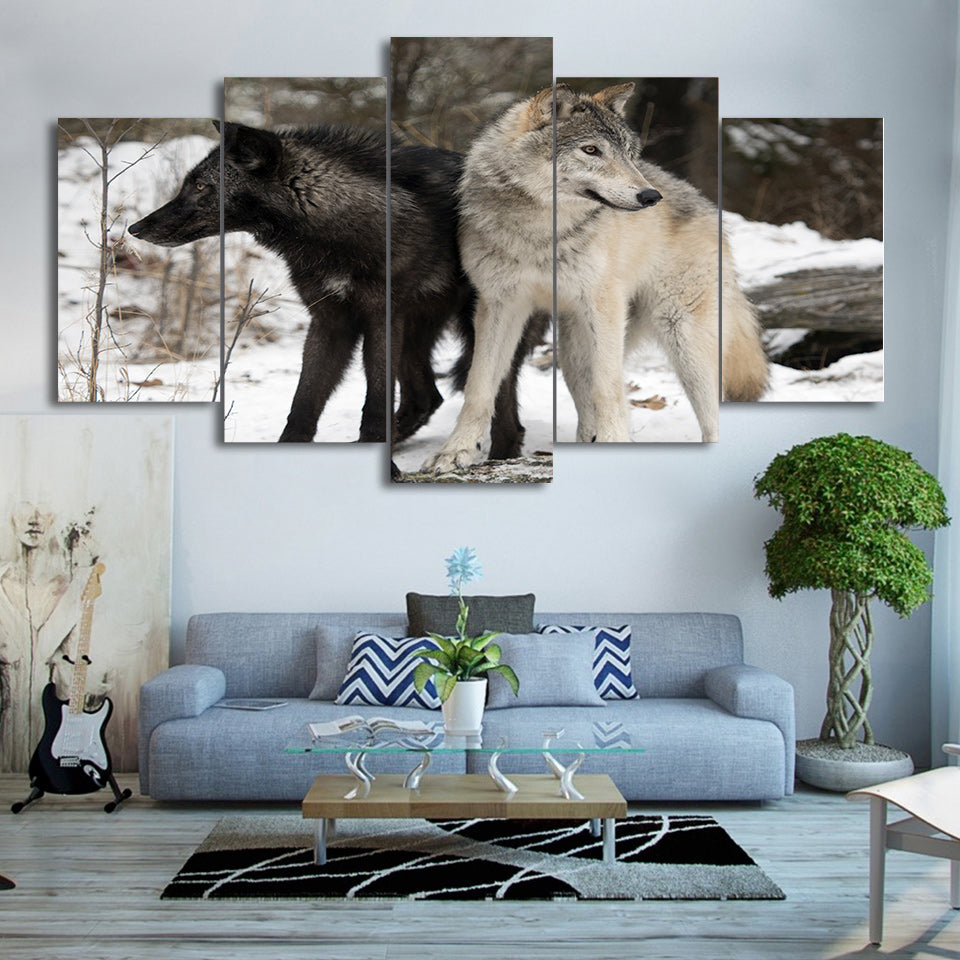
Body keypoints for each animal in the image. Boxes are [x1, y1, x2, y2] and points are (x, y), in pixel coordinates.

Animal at [129, 122, 539, 452]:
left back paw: (501, 452)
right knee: (426, 398)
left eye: (200, 186)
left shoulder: (380, 319)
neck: (333, 230)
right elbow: (303, 403)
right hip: (415, 330)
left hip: (475, 325)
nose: (135, 228)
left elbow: (373, 404)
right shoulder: (330, 321)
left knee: (497, 397)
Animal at [423, 83, 769, 473]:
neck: (540, 233)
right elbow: (479, 387)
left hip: (682, 338)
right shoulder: (498, 305)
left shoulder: (603, 306)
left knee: (706, 412)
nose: (650, 196)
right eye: (591, 150)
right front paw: (455, 451)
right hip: (574, 347)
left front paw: (615, 440)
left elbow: (608, 389)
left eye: (629, 154)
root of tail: (706, 205)